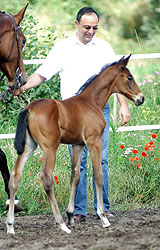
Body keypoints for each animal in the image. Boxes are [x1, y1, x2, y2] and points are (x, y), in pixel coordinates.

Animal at [6, 55, 144, 234]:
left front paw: (71, 215)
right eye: (129, 77)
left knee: (15, 176)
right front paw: (103, 217)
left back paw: (10, 225)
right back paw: (61, 224)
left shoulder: (78, 145)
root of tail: (29, 108)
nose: (141, 98)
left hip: (29, 146)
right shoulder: (94, 141)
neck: (91, 102)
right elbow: (98, 175)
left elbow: (75, 176)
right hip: (50, 148)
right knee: (46, 177)